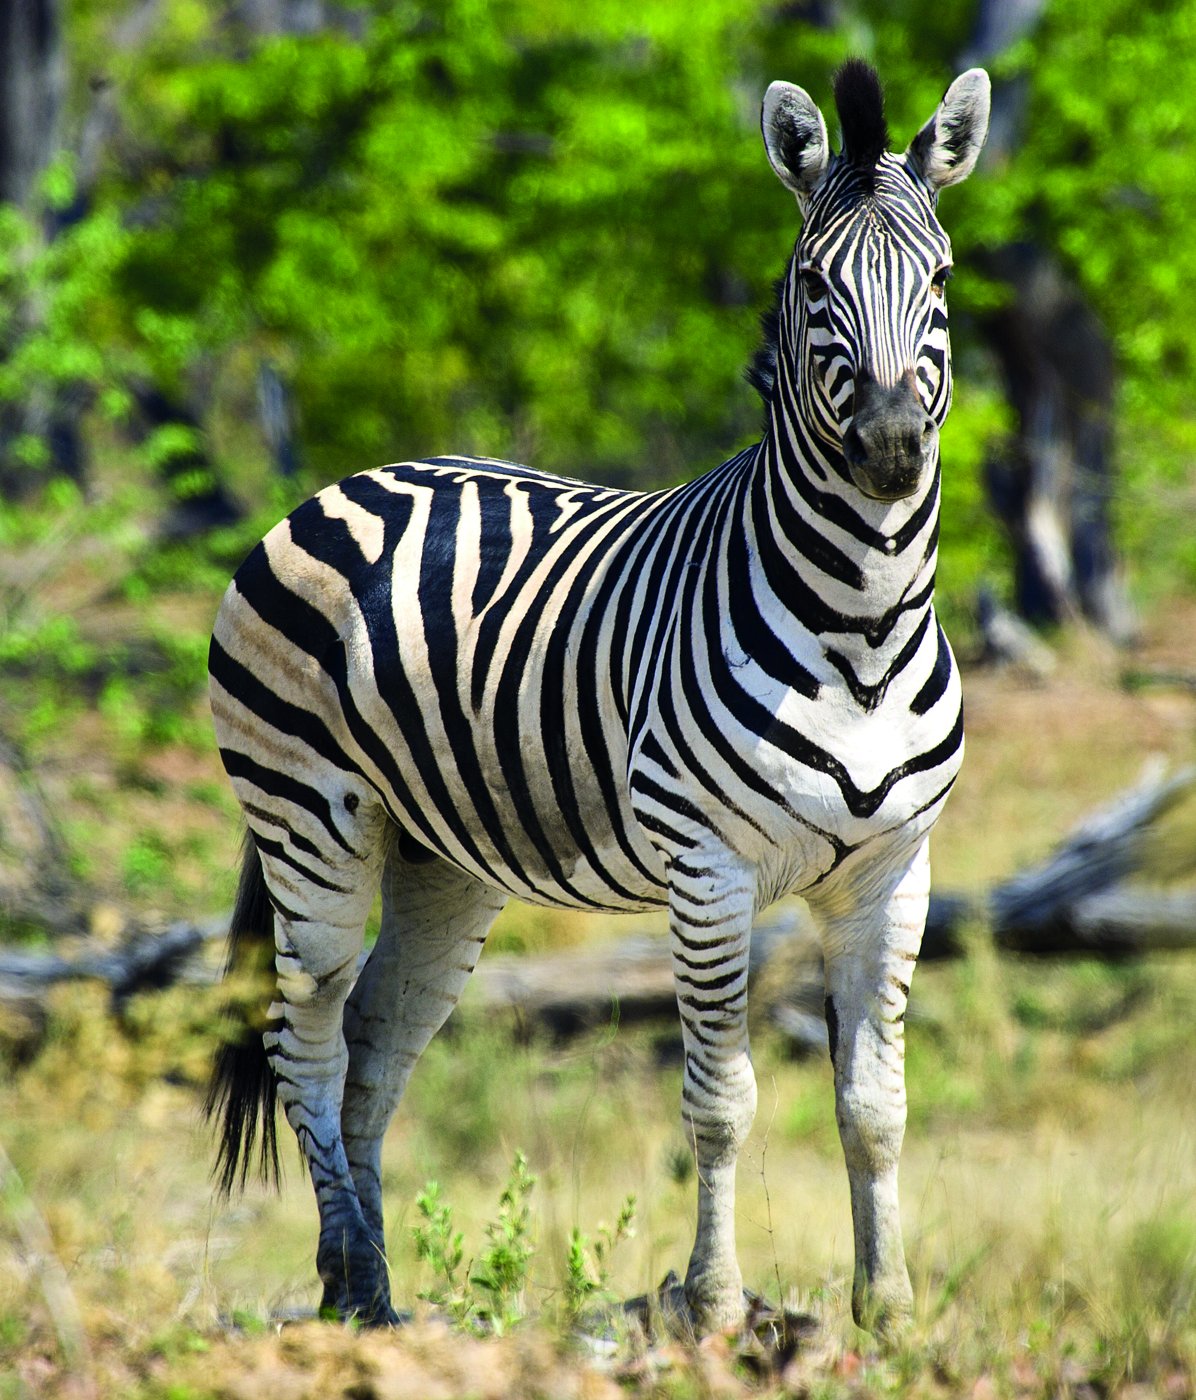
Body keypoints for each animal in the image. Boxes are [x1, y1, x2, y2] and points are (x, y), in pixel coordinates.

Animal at [206, 59, 990, 1338]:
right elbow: (720, 1099)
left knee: (373, 1043)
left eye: (940, 278)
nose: (886, 448)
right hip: (305, 817)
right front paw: (713, 1305)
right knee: (304, 1038)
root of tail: (351, 479)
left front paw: (886, 1313)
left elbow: (874, 1103)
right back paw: (356, 1282)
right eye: (810, 282)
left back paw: (367, 1288)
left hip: (442, 858)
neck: (862, 628)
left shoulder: (892, 870)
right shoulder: (707, 867)